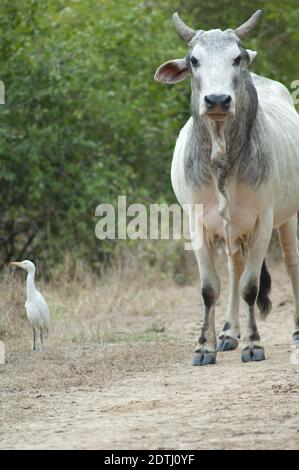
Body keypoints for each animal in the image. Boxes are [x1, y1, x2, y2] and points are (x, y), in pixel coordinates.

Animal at [156, 9, 299, 366]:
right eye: (194, 60)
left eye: (237, 58)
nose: (218, 100)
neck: (221, 154)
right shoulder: (198, 223)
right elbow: (210, 288)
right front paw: (204, 347)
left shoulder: (262, 221)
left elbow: (250, 286)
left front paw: (254, 345)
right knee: (234, 268)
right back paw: (228, 334)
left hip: (288, 218)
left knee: (291, 263)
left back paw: (294, 331)